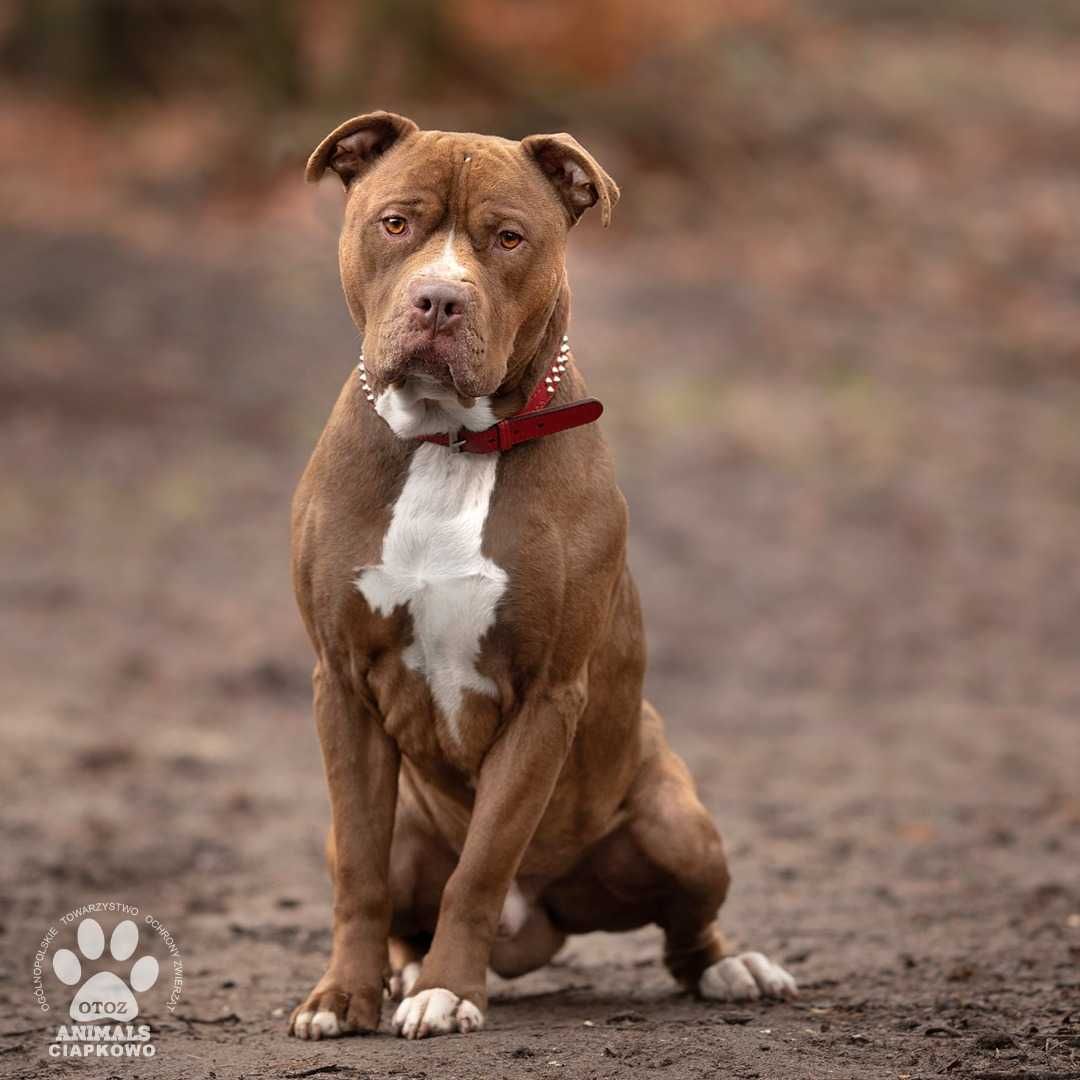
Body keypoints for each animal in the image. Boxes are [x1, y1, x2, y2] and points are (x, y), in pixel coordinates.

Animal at [291, 109, 799, 1036]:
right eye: (396, 223)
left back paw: (731, 965)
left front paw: (450, 990)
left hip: (679, 825)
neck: (452, 442)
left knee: (688, 925)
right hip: (408, 819)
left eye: (508, 237)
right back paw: (398, 973)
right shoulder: (340, 683)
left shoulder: (545, 696)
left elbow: (484, 864)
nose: (439, 299)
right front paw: (343, 995)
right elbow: (360, 873)